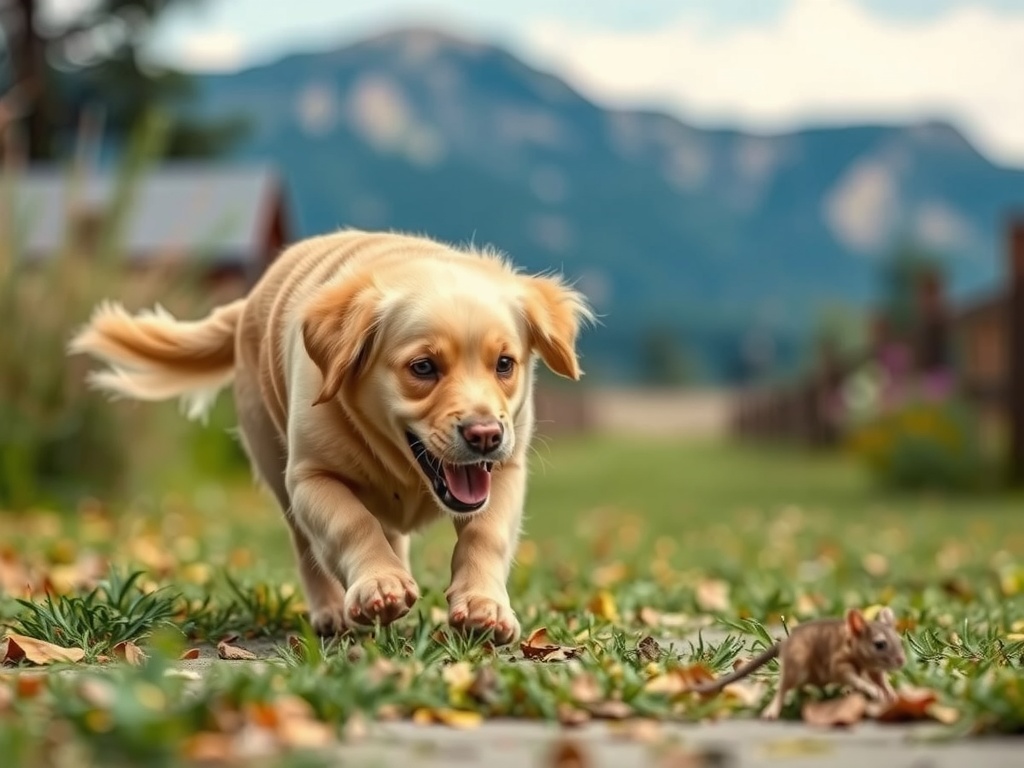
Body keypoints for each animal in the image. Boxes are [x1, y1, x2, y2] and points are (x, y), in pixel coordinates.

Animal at [68, 228, 593, 643]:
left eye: (505, 364)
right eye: (423, 367)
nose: (485, 434)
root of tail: (247, 304)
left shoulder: (504, 471)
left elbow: (486, 533)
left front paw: (485, 606)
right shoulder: (309, 477)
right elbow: (350, 522)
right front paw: (379, 585)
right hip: (276, 466)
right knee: (310, 550)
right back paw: (332, 611)